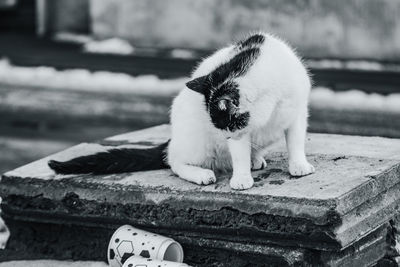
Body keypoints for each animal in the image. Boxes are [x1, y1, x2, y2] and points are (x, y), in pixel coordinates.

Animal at [48, 31, 314, 191]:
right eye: (222, 128)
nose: (226, 137)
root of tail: (173, 138)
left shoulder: (298, 113)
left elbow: (296, 143)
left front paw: (298, 165)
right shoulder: (241, 134)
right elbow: (238, 155)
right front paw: (241, 177)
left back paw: (255, 158)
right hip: (195, 142)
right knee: (174, 161)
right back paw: (202, 173)